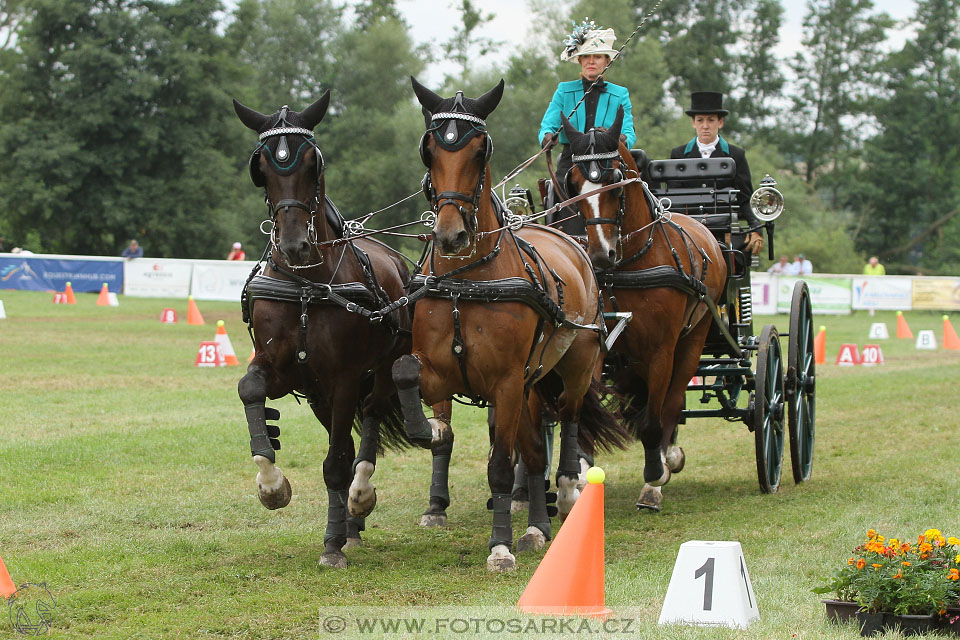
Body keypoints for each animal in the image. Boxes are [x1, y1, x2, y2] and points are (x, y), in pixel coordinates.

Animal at [234, 92, 418, 568]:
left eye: (312, 164)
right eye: (261, 168)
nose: (295, 245)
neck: (306, 285)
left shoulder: (344, 377)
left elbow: (336, 462)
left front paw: (332, 544)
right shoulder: (285, 370)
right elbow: (249, 388)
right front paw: (272, 486)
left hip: (378, 371)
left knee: (368, 419)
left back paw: (358, 500)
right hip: (320, 396)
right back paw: (350, 525)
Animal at [390, 77, 632, 572]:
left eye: (480, 151)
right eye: (429, 150)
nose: (450, 235)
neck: (467, 282)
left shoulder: (504, 383)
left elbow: (501, 465)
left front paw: (499, 546)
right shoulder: (441, 371)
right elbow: (405, 374)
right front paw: (429, 430)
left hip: (574, 366)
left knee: (568, 420)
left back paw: (567, 488)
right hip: (530, 386)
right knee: (536, 453)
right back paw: (537, 527)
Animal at [560, 109, 724, 510]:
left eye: (615, 182)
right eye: (574, 184)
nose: (601, 256)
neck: (630, 263)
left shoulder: (661, 349)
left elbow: (653, 418)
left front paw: (654, 477)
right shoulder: (600, 341)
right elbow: (585, 400)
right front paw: (580, 466)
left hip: (692, 340)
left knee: (672, 400)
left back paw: (667, 458)